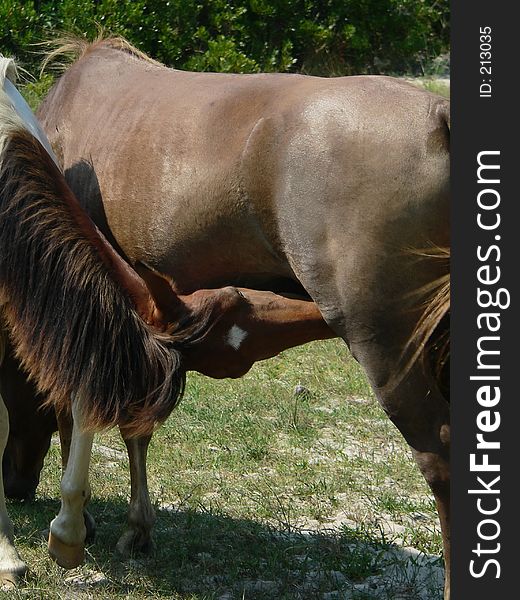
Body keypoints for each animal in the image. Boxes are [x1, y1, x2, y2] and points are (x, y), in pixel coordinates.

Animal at [35, 36, 446, 596]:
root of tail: (439, 119)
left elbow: (82, 401)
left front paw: (76, 528)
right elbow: (136, 422)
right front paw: (135, 529)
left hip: (389, 347)